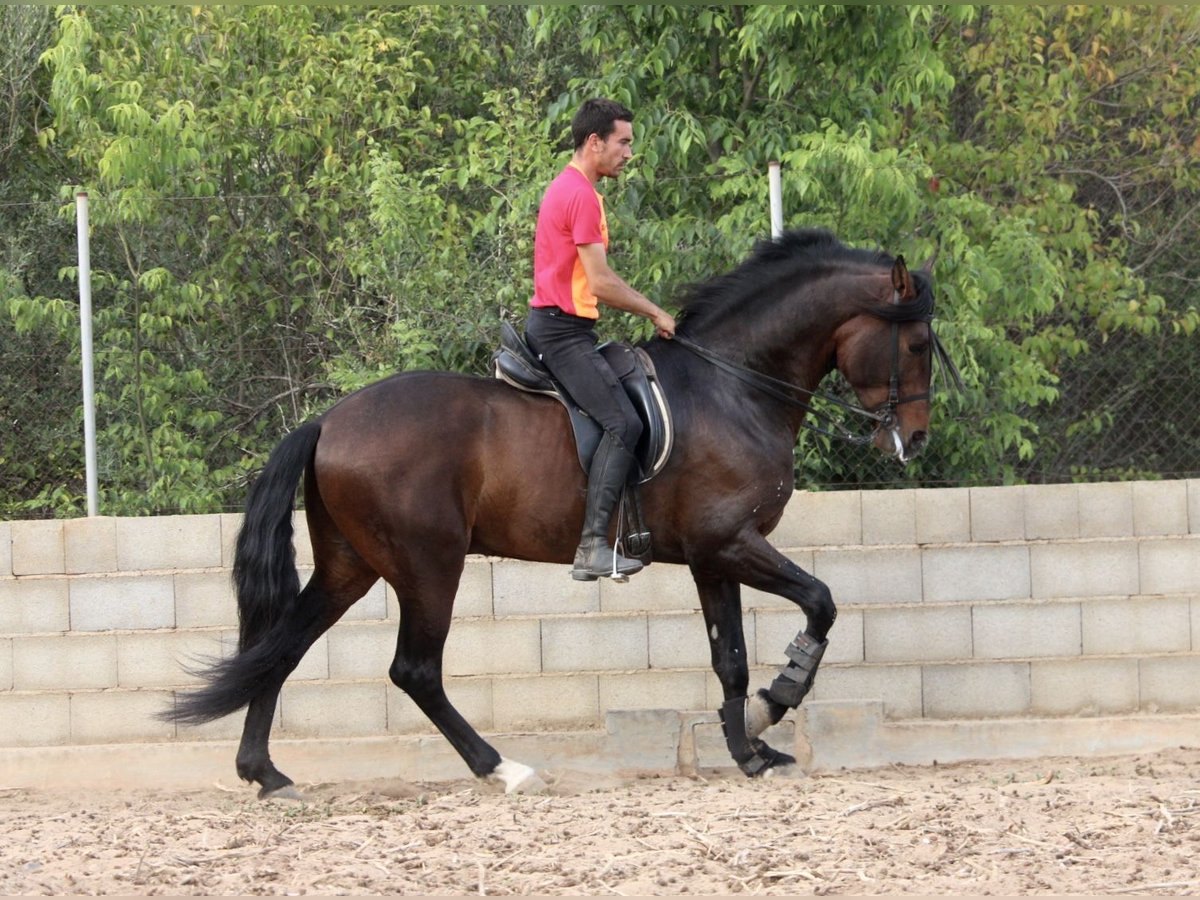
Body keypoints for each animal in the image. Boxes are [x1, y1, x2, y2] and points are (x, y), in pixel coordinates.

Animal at [166, 230, 955, 796]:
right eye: (916, 344)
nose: (913, 439)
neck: (733, 387)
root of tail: (329, 420)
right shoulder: (733, 542)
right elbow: (820, 602)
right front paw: (777, 699)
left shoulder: (712, 555)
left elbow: (728, 658)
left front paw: (750, 749)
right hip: (428, 565)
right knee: (414, 670)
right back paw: (501, 768)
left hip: (350, 565)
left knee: (284, 647)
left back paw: (266, 774)